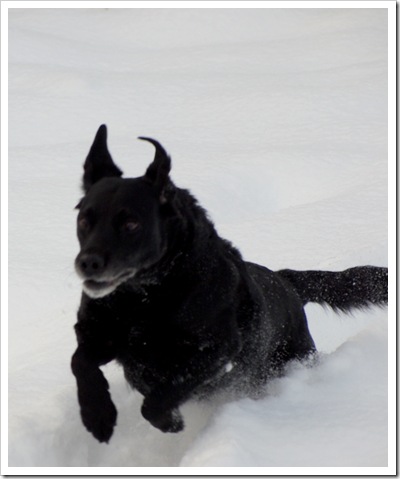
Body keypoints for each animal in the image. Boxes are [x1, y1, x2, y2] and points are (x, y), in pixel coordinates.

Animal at [72, 125, 388, 443]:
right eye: (84, 220)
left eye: (131, 224)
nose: (88, 262)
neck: (142, 300)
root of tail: (285, 280)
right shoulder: (98, 336)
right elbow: (80, 363)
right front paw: (97, 416)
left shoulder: (216, 350)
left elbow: (156, 402)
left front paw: (171, 422)